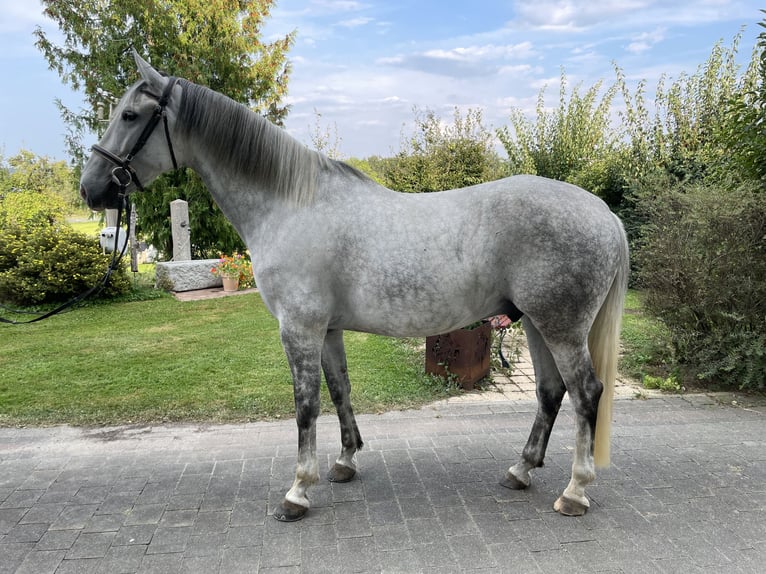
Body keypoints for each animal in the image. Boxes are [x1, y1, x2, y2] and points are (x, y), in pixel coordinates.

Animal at [79, 53, 632, 520]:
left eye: (130, 116)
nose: (91, 188)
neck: (291, 204)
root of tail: (603, 213)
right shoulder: (326, 330)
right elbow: (340, 389)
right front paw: (345, 462)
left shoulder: (298, 329)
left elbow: (305, 405)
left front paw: (298, 491)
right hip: (537, 323)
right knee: (551, 391)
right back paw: (520, 470)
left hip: (560, 327)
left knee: (585, 393)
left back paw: (575, 492)